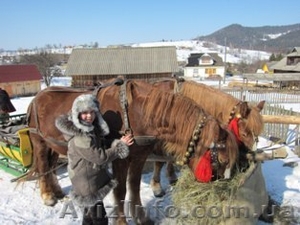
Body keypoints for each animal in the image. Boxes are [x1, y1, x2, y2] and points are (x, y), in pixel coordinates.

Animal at [24, 78, 238, 224]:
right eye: (221, 159)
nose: (220, 194)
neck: (136, 112)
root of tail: (36, 98)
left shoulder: (139, 157)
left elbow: (134, 186)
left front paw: (141, 217)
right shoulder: (120, 158)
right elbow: (120, 190)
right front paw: (121, 221)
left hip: (52, 145)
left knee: (50, 166)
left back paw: (57, 191)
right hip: (39, 142)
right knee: (42, 165)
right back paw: (48, 196)